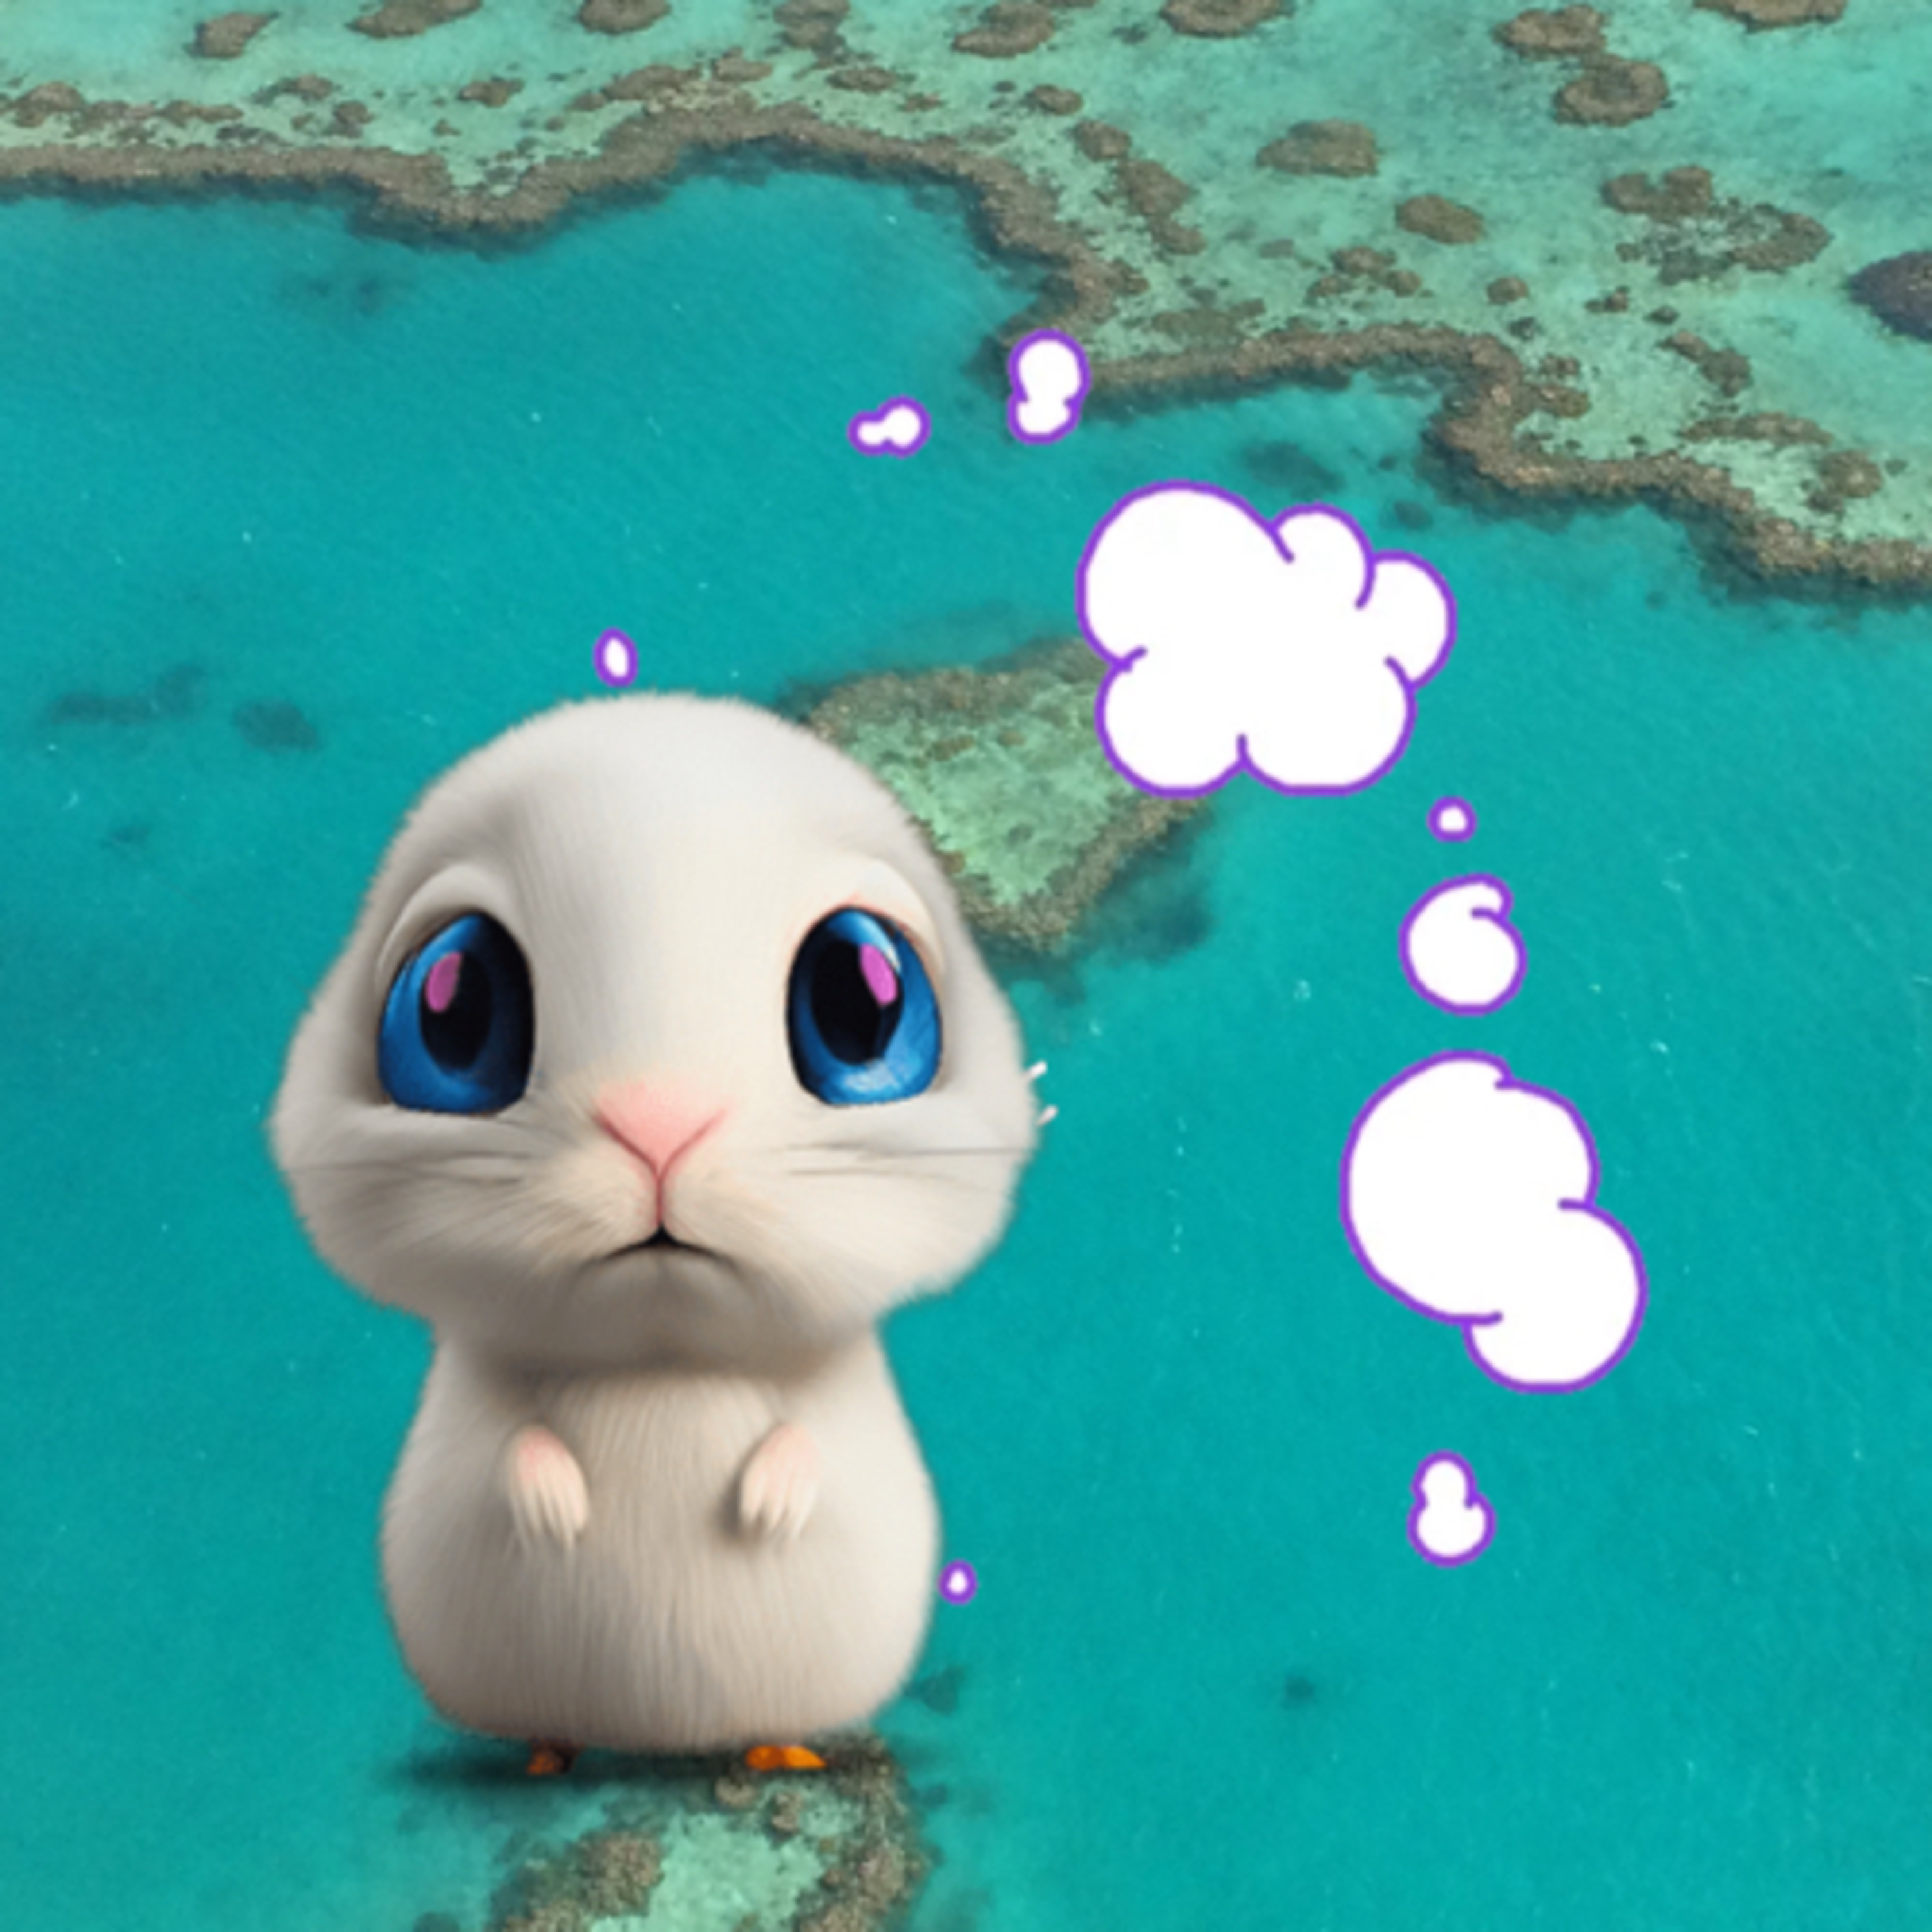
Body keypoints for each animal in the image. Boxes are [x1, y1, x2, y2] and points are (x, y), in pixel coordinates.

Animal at [269, 692, 1042, 1764]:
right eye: (453, 1005)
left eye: (859, 1000)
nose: (658, 1119)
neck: (663, 1364)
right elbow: (510, 1449)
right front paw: (549, 1498)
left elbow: (806, 1440)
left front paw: (774, 1492)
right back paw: (549, 1755)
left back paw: (775, 1749)